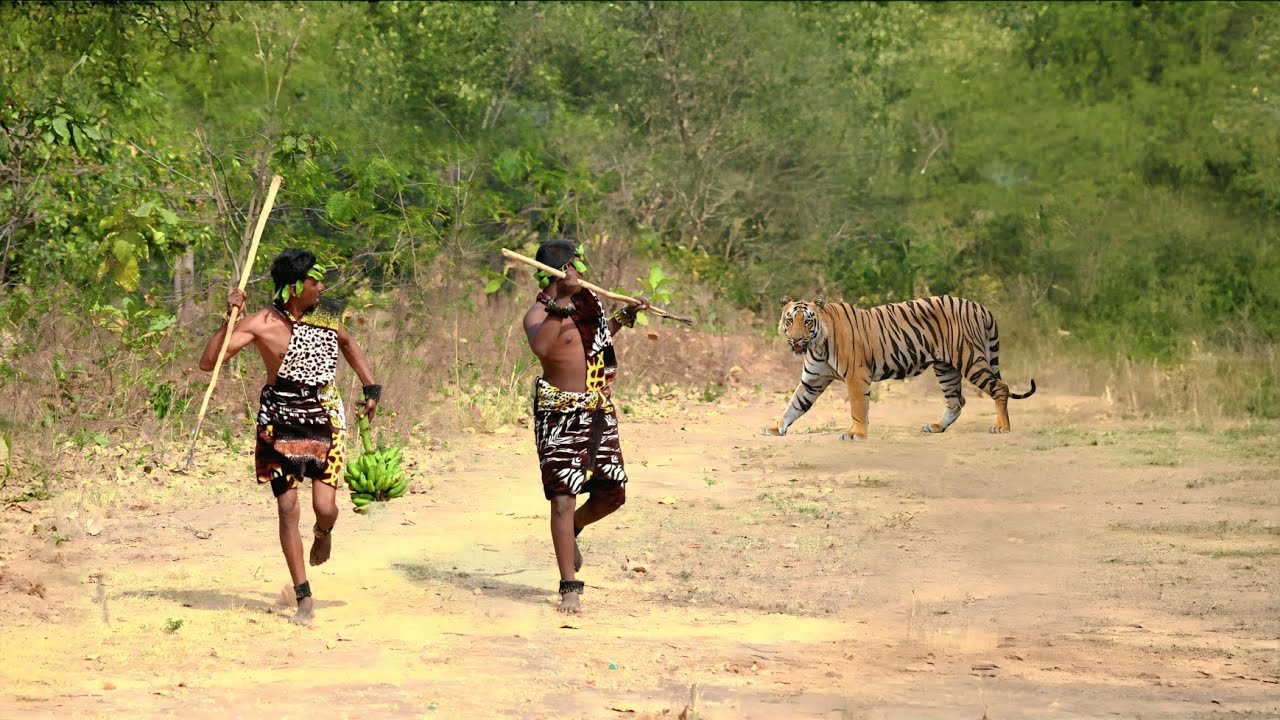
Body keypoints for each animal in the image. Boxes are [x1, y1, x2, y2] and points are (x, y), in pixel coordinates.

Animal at [761, 295, 1036, 440]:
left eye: (807, 321)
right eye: (790, 320)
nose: (796, 340)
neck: (817, 345)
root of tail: (981, 307)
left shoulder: (857, 377)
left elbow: (858, 408)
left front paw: (856, 434)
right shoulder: (812, 380)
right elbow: (794, 405)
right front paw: (776, 428)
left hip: (970, 358)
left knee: (1000, 387)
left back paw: (1002, 427)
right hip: (945, 367)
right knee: (956, 401)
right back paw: (936, 427)